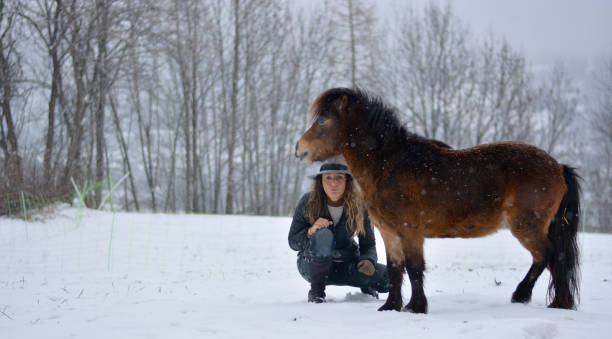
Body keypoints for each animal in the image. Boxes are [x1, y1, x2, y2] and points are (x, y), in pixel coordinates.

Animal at [294, 87, 580, 314]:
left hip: (526, 226)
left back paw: (522, 295)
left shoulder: (410, 232)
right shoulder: (390, 233)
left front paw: (416, 307)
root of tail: (558, 167)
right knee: (555, 259)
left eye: (323, 120)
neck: (391, 164)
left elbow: (414, 268)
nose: (299, 149)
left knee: (547, 255)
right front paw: (391, 307)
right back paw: (559, 303)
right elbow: (396, 269)